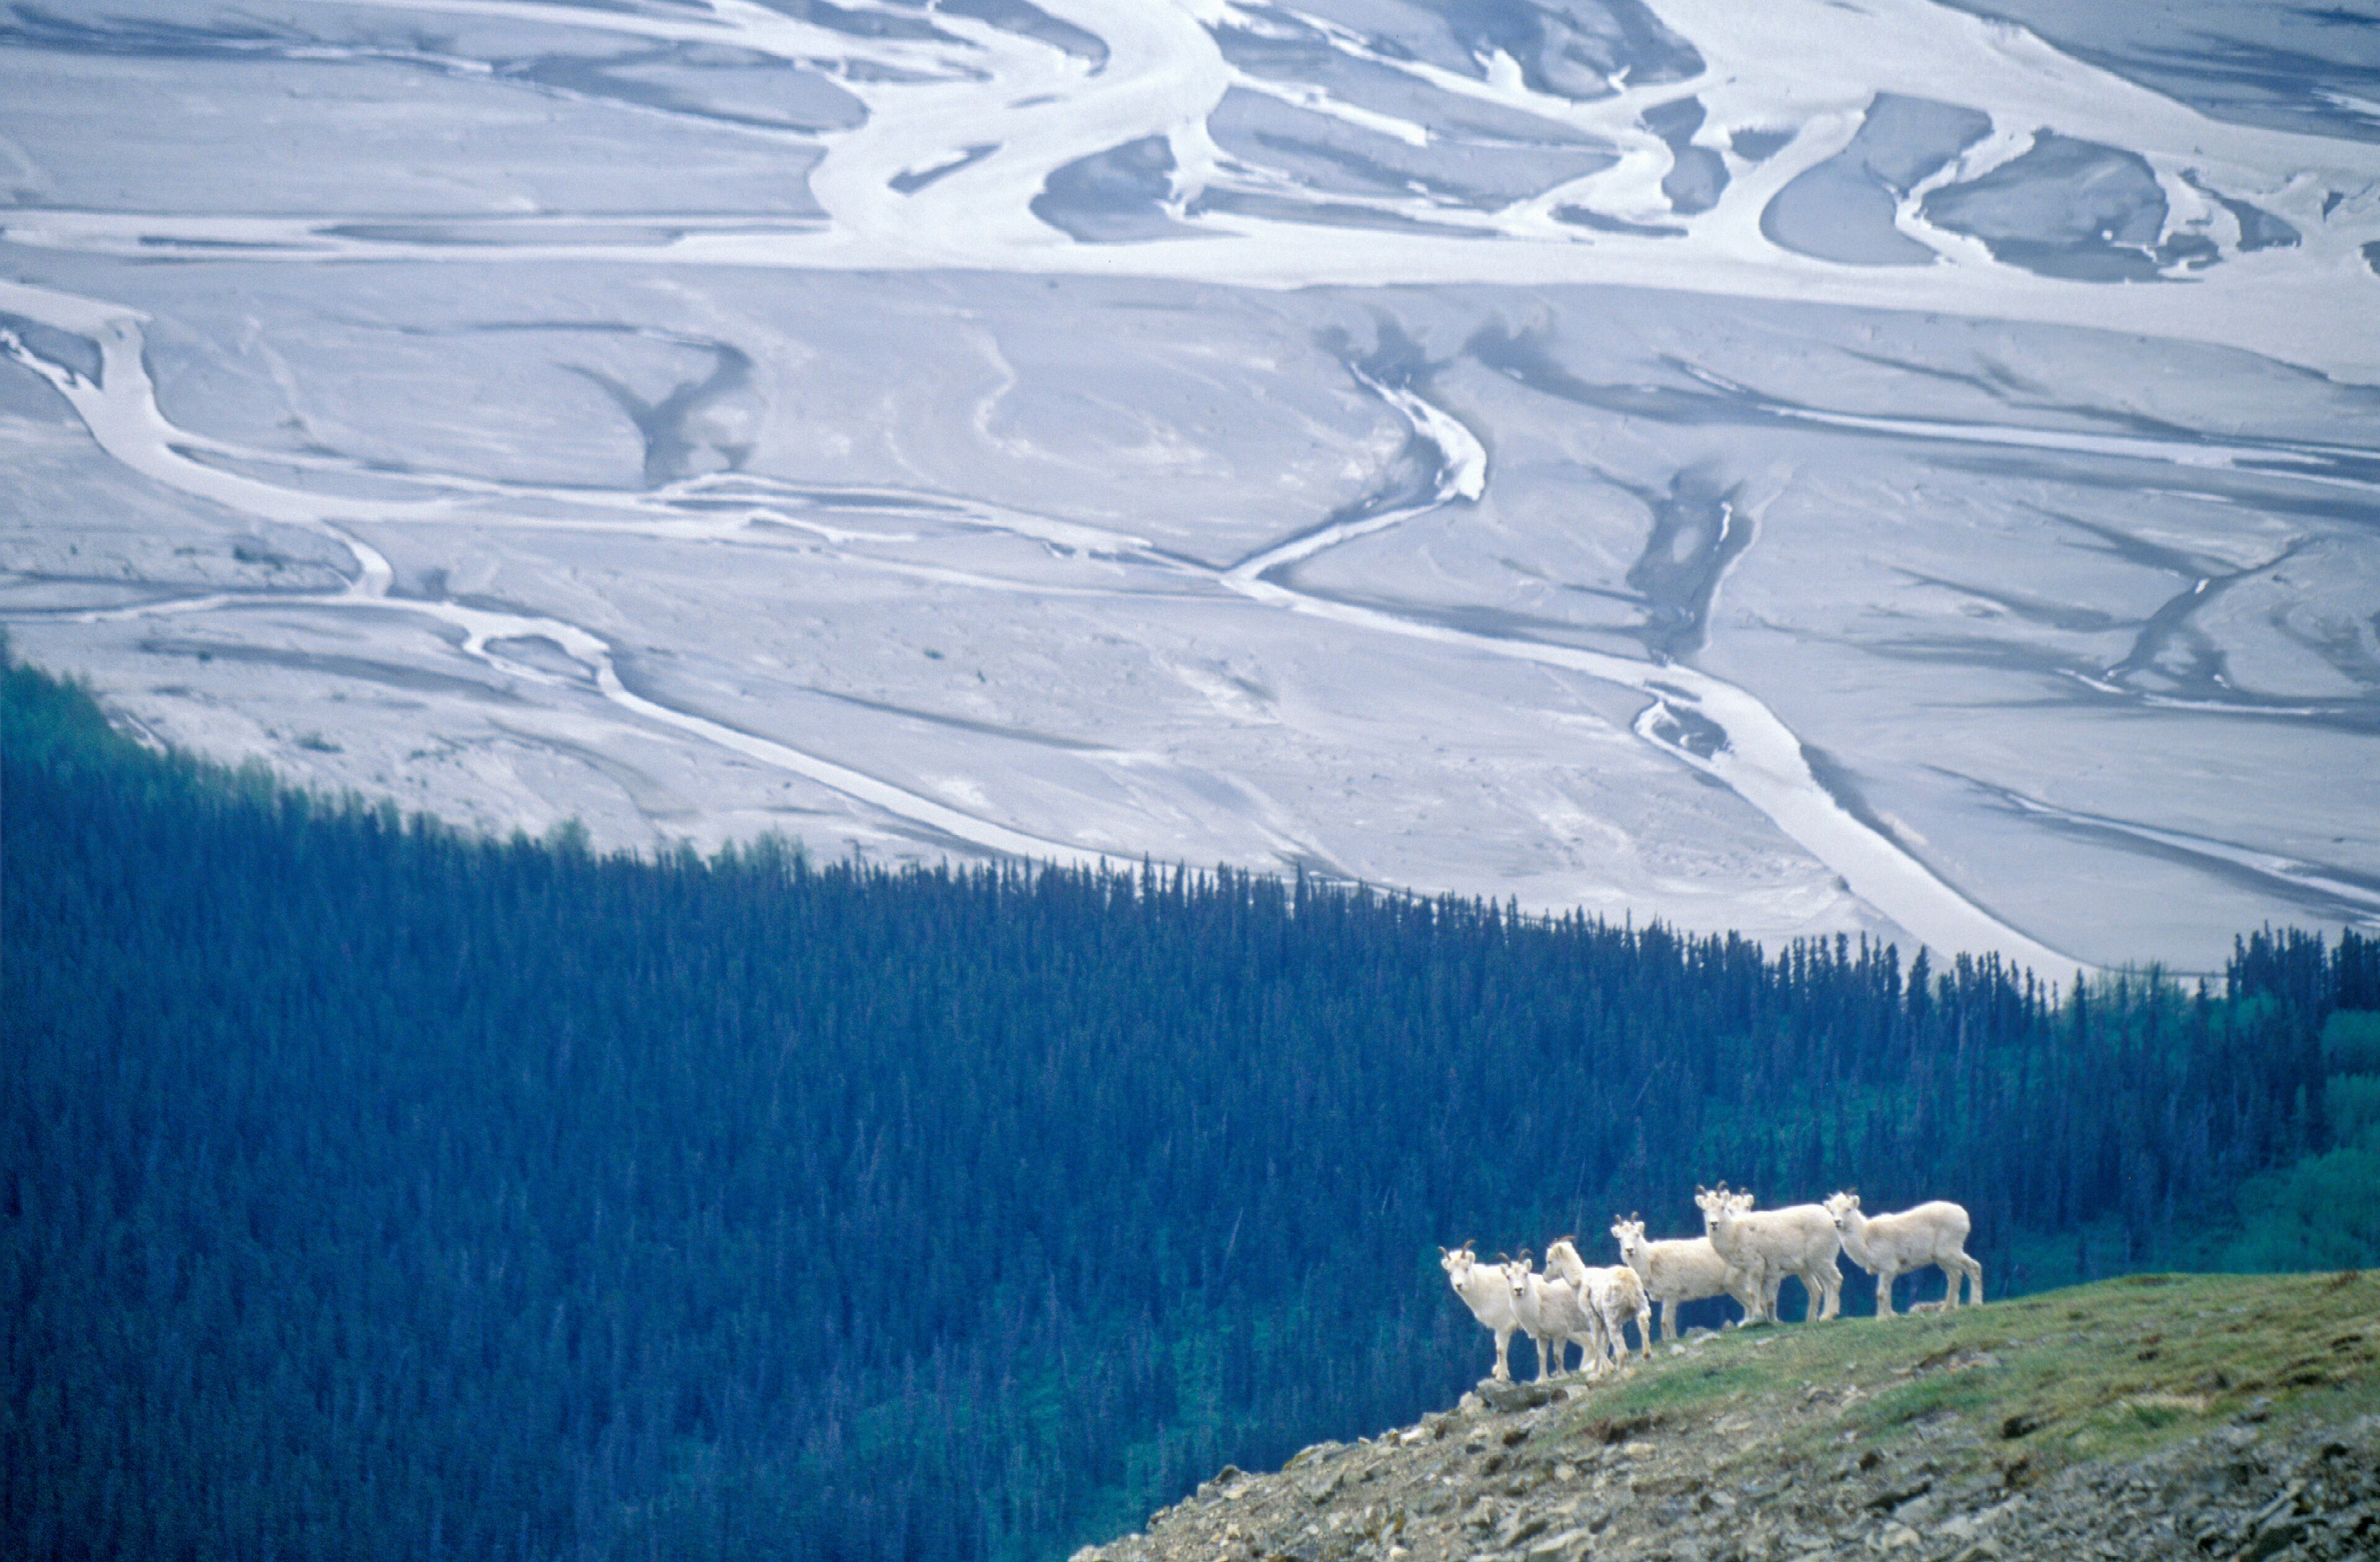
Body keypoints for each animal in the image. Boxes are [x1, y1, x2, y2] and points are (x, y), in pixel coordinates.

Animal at [1440, 1242, 1523, 1382]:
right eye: (1450, 1272)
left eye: (1466, 1268)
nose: (1459, 1285)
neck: (1487, 1288)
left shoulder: (1504, 1326)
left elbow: (1501, 1349)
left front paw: (1501, 1377)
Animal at [1545, 1237, 1653, 1366]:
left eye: (1550, 1261)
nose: (1545, 1277)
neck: (1580, 1282)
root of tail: (1626, 1281)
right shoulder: (1602, 1320)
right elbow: (1605, 1343)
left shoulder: (1593, 1317)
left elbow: (1597, 1342)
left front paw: (1609, 1369)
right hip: (1641, 1304)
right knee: (1643, 1321)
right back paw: (1646, 1355)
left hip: (1612, 1316)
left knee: (1619, 1345)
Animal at [1609, 1215, 1761, 1341]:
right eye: (1620, 1238)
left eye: (1637, 1234)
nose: (1630, 1250)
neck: (1651, 1261)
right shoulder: (1667, 1297)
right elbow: (1664, 1321)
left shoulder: (1671, 1294)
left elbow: (1667, 1321)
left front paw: (1672, 1340)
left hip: (1736, 1284)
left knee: (1750, 1301)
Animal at [1695, 1185, 1843, 1323]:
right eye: (1704, 1209)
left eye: (1722, 1207)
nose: (1714, 1224)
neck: (1735, 1233)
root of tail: (1832, 1220)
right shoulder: (1764, 1274)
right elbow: (1762, 1300)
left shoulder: (1755, 1269)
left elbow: (1754, 1295)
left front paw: (1757, 1319)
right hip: (1811, 1266)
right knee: (1823, 1287)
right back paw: (1818, 1318)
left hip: (1821, 1260)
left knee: (1835, 1280)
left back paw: (1828, 1316)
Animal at [1822, 1192, 1984, 1317]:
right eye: (1832, 1211)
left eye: (1848, 1209)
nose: (1837, 1222)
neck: (1866, 1237)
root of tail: (1964, 1215)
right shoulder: (1884, 1271)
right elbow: (1884, 1294)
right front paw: (1886, 1316)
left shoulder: (1889, 1268)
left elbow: (1882, 1293)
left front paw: (1885, 1318)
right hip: (1943, 1258)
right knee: (1955, 1276)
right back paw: (1946, 1308)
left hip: (1950, 1251)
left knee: (1973, 1267)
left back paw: (1975, 1303)